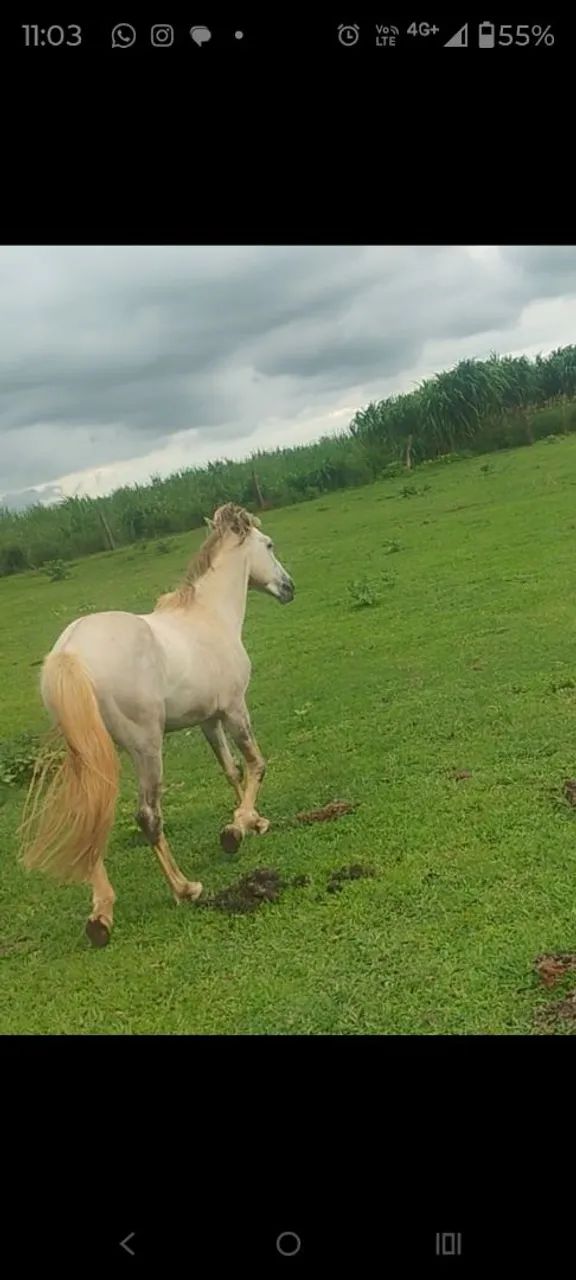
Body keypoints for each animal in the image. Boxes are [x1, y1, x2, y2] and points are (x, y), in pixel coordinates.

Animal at [19, 502, 295, 947]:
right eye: (268, 544)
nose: (289, 588)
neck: (209, 618)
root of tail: (71, 651)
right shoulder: (235, 710)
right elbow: (256, 764)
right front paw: (234, 831)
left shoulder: (208, 720)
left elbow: (231, 770)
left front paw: (252, 820)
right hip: (146, 747)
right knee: (148, 816)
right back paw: (185, 888)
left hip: (89, 755)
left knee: (91, 815)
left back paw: (101, 916)